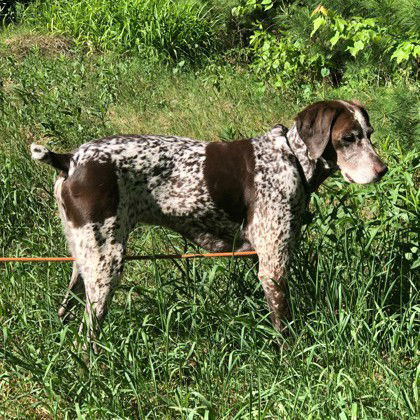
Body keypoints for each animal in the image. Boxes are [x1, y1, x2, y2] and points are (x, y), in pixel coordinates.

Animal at [30, 99, 388, 348]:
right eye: (349, 138)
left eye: (369, 135)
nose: (382, 170)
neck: (292, 159)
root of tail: (70, 160)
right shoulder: (272, 268)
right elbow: (283, 327)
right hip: (107, 263)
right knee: (87, 333)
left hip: (85, 260)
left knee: (65, 312)